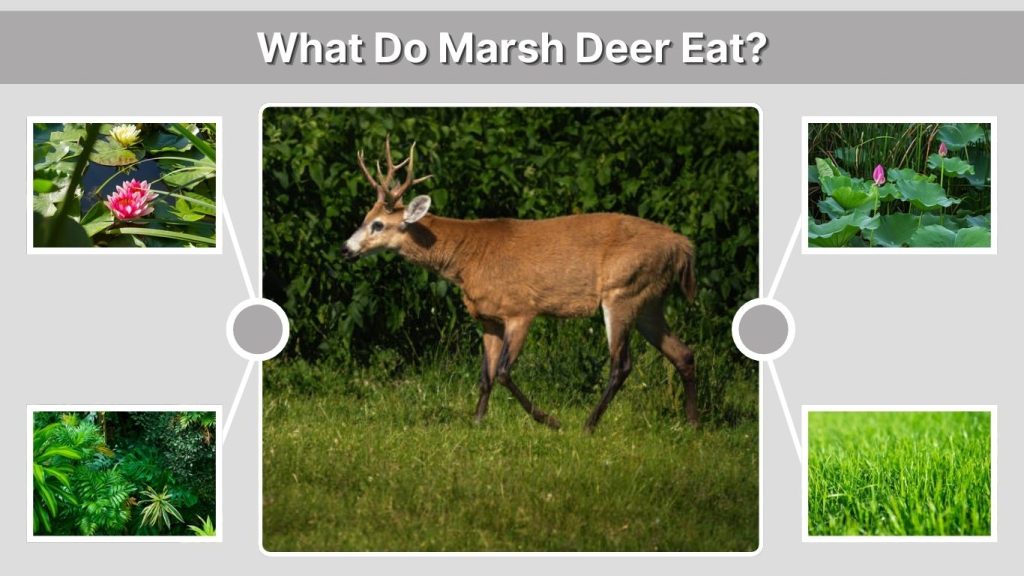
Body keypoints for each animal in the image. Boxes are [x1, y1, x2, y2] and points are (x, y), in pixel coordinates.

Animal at [341, 139, 698, 432]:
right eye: (364, 217)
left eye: (378, 224)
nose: (346, 248)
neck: (467, 260)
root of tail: (682, 245)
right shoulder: (488, 319)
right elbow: (485, 376)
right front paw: (477, 422)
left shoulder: (521, 310)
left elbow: (502, 372)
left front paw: (550, 420)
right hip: (649, 301)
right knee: (684, 353)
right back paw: (692, 423)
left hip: (623, 290)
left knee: (621, 364)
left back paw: (587, 426)